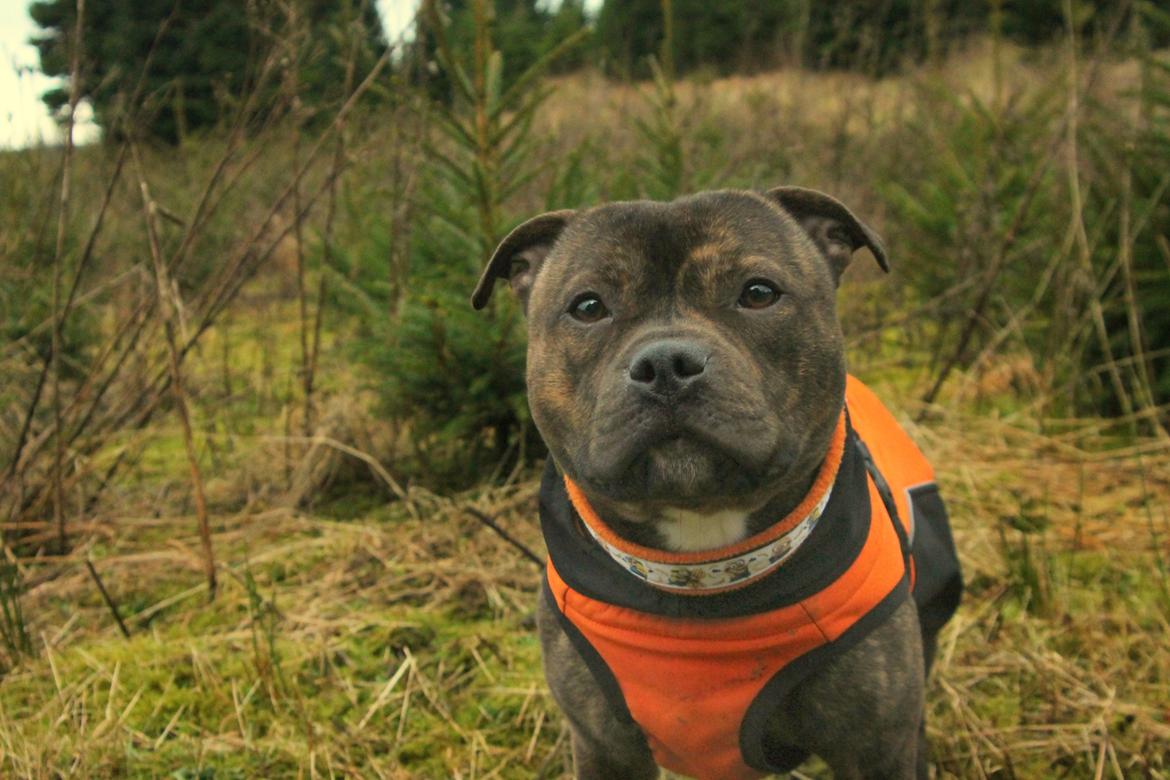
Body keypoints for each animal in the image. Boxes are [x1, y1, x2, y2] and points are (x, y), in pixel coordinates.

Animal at [470, 185, 964, 776]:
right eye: (588, 307)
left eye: (758, 293)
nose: (665, 363)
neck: (701, 569)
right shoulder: (601, 746)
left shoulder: (875, 747)